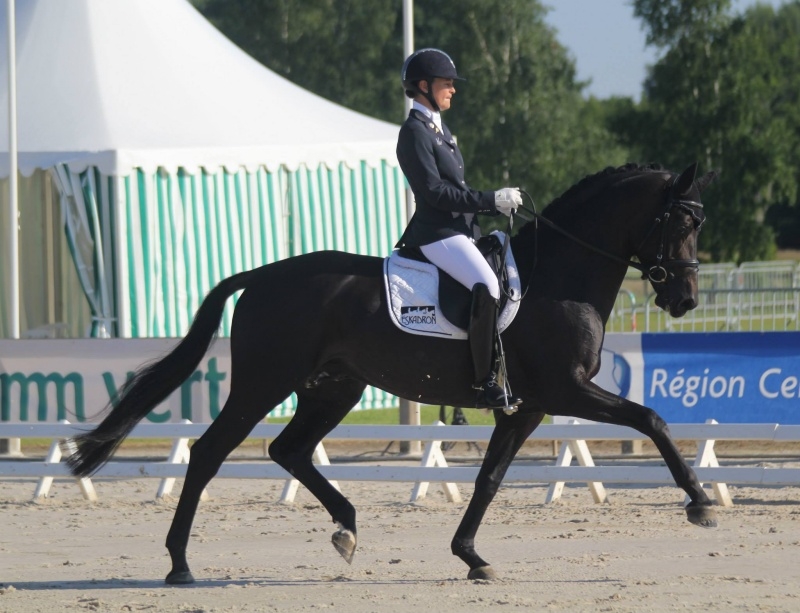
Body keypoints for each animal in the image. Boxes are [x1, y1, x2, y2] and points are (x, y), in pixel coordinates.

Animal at [66, 161, 718, 585]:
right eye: (683, 224)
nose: (685, 300)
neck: (556, 276)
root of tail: (261, 275)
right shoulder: (566, 390)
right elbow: (652, 419)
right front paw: (700, 503)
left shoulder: (526, 407)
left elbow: (489, 480)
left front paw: (470, 556)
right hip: (263, 384)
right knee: (208, 453)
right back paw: (179, 564)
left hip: (334, 389)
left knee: (288, 450)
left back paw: (347, 528)